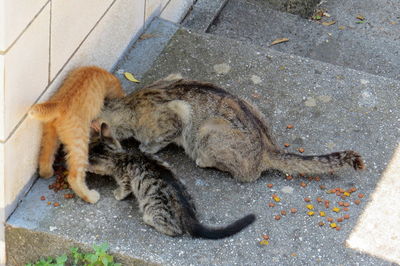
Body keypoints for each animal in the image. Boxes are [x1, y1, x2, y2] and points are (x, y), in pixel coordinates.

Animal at [29, 66, 125, 204]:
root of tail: (60, 104)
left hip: (50, 137)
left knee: (45, 157)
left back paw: (47, 173)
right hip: (79, 144)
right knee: (74, 176)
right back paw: (90, 197)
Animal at [88, 123, 255, 239]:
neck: (121, 156)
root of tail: (189, 217)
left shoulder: (126, 180)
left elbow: (124, 190)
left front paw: (117, 193)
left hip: (152, 207)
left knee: (173, 230)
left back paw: (148, 219)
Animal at [95, 76, 364, 182]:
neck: (129, 105)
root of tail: (268, 148)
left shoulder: (178, 112)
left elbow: (160, 137)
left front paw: (146, 146)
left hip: (209, 131)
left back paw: (202, 160)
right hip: (249, 105)